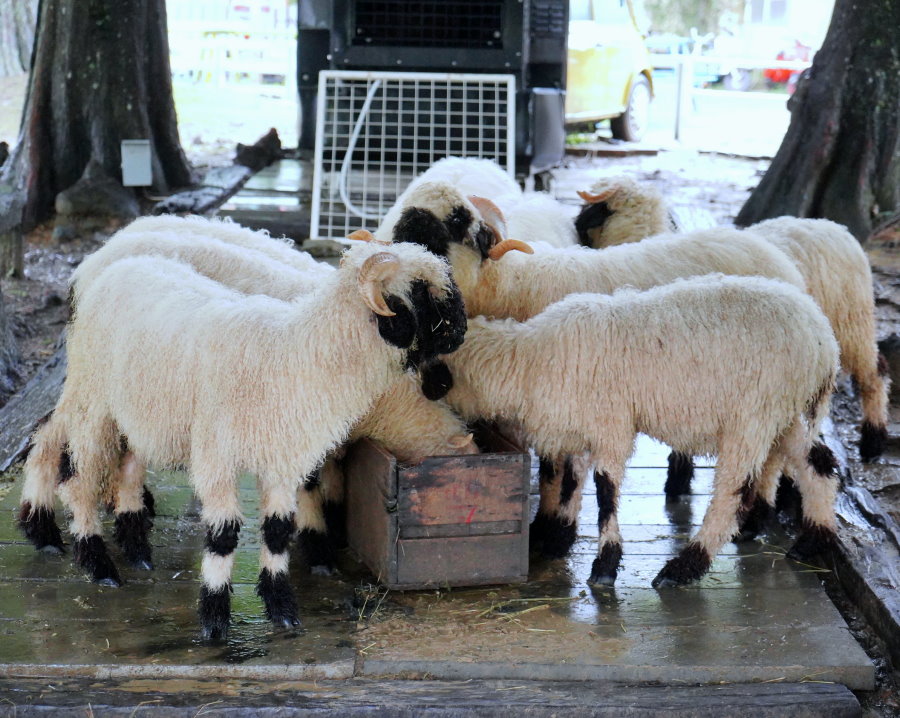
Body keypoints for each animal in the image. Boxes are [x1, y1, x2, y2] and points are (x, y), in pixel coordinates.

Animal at [18, 242, 468, 640]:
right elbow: (223, 536)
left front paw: (281, 608)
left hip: (139, 410)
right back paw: (97, 564)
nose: (461, 332)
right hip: (93, 399)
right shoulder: (217, 458)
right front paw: (215, 619)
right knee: (75, 478)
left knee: (125, 471)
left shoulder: (284, 461)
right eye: (421, 291)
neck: (298, 356)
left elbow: (277, 531)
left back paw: (137, 552)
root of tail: (110, 266)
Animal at [442, 276, 844, 592]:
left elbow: (605, 491)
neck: (527, 361)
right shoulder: (583, 427)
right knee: (819, 464)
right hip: (783, 412)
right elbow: (572, 483)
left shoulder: (611, 425)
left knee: (732, 491)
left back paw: (682, 568)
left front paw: (604, 566)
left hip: (753, 413)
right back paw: (812, 541)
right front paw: (557, 539)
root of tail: (825, 341)